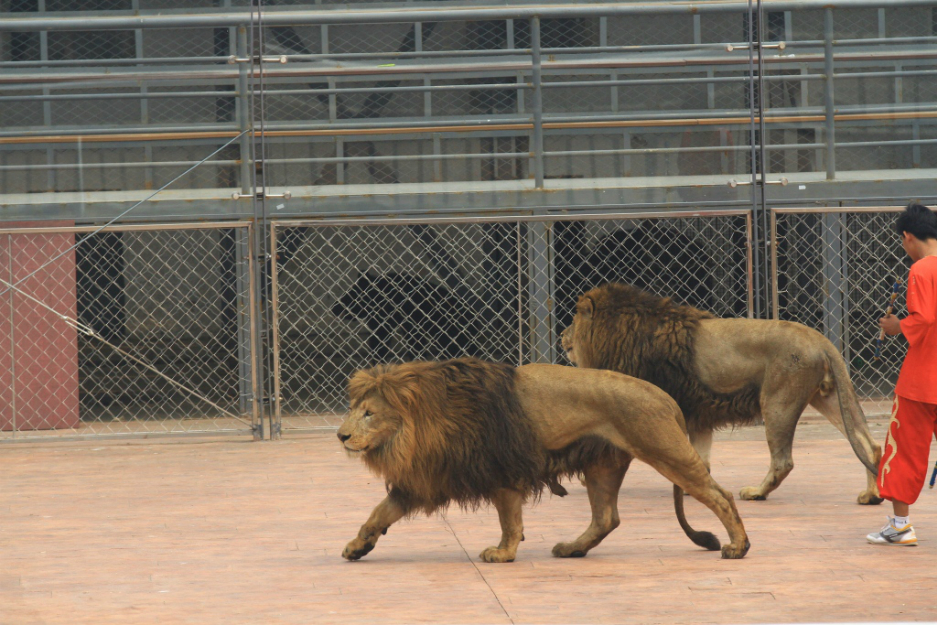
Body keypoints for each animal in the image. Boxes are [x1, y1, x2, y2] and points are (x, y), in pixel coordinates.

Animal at [332, 358, 748, 564]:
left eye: (369, 413)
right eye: (354, 409)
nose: (341, 436)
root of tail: (665, 396)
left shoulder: (501, 470)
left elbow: (510, 521)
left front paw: (503, 553)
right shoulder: (424, 479)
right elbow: (378, 514)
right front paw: (357, 547)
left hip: (666, 451)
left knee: (720, 496)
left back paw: (738, 547)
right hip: (602, 466)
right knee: (606, 518)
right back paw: (572, 548)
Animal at [560, 282, 880, 502]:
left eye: (573, 320)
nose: (562, 336)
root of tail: (820, 340)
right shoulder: (697, 415)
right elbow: (700, 459)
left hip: (777, 400)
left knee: (783, 461)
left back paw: (756, 492)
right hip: (826, 396)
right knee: (868, 444)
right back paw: (872, 494)